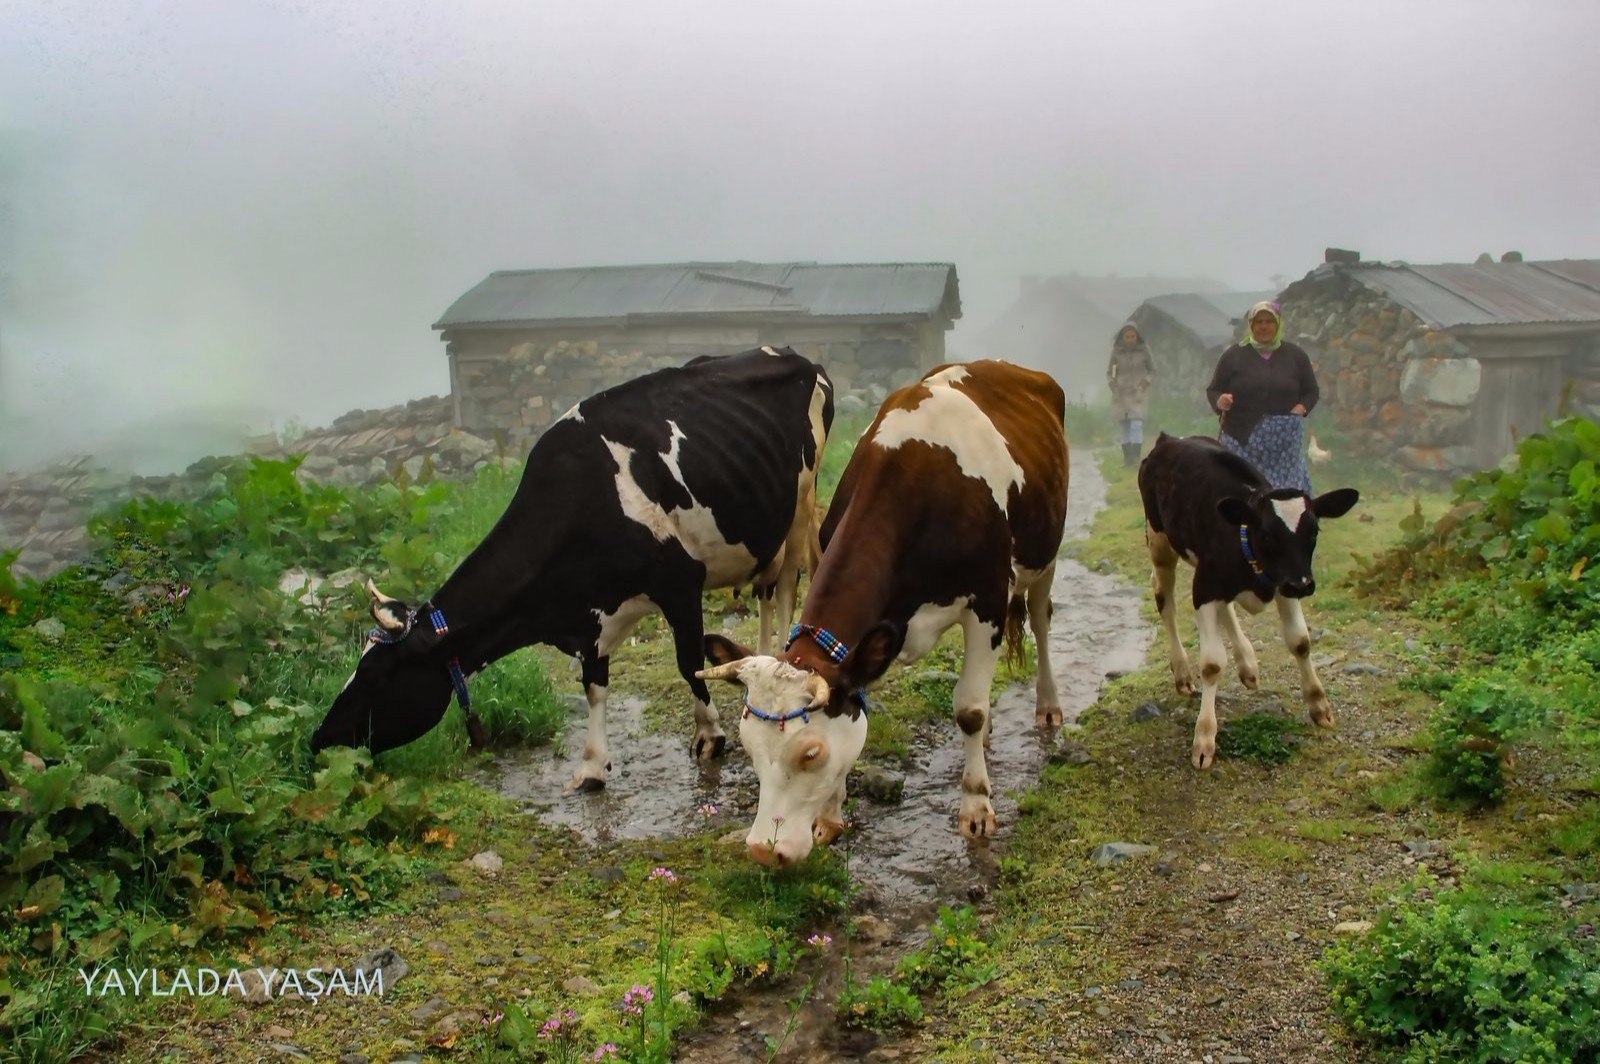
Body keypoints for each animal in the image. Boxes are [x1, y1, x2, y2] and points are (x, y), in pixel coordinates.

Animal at [309, 346, 834, 794]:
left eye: (377, 676)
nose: (317, 739)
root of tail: (798, 356)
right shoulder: (590, 618)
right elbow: (594, 686)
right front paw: (592, 766)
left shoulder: (680, 582)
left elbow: (689, 664)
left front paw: (709, 737)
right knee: (765, 591)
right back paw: (753, 667)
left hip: (799, 507)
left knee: (785, 590)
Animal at [696, 360, 1070, 867]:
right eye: (750, 748)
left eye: (809, 753)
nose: (762, 850)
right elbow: (858, 706)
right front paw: (830, 815)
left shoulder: (988, 602)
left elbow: (969, 709)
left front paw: (976, 808)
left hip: (1045, 555)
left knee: (1041, 618)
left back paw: (1048, 707)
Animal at [1136, 432, 1360, 769]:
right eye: (1267, 534)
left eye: (1314, 532)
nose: (1303, 584)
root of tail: (1169, 439)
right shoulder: (1205, 587)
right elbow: (1212, 664)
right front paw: (1204, 739)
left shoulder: (1281, 583)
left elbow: (1300, 642)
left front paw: (1319, 705)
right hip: (1160, 542)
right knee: (1166, 604)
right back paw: (1183, 672)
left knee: (1226, 609)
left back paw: (1247, 663)